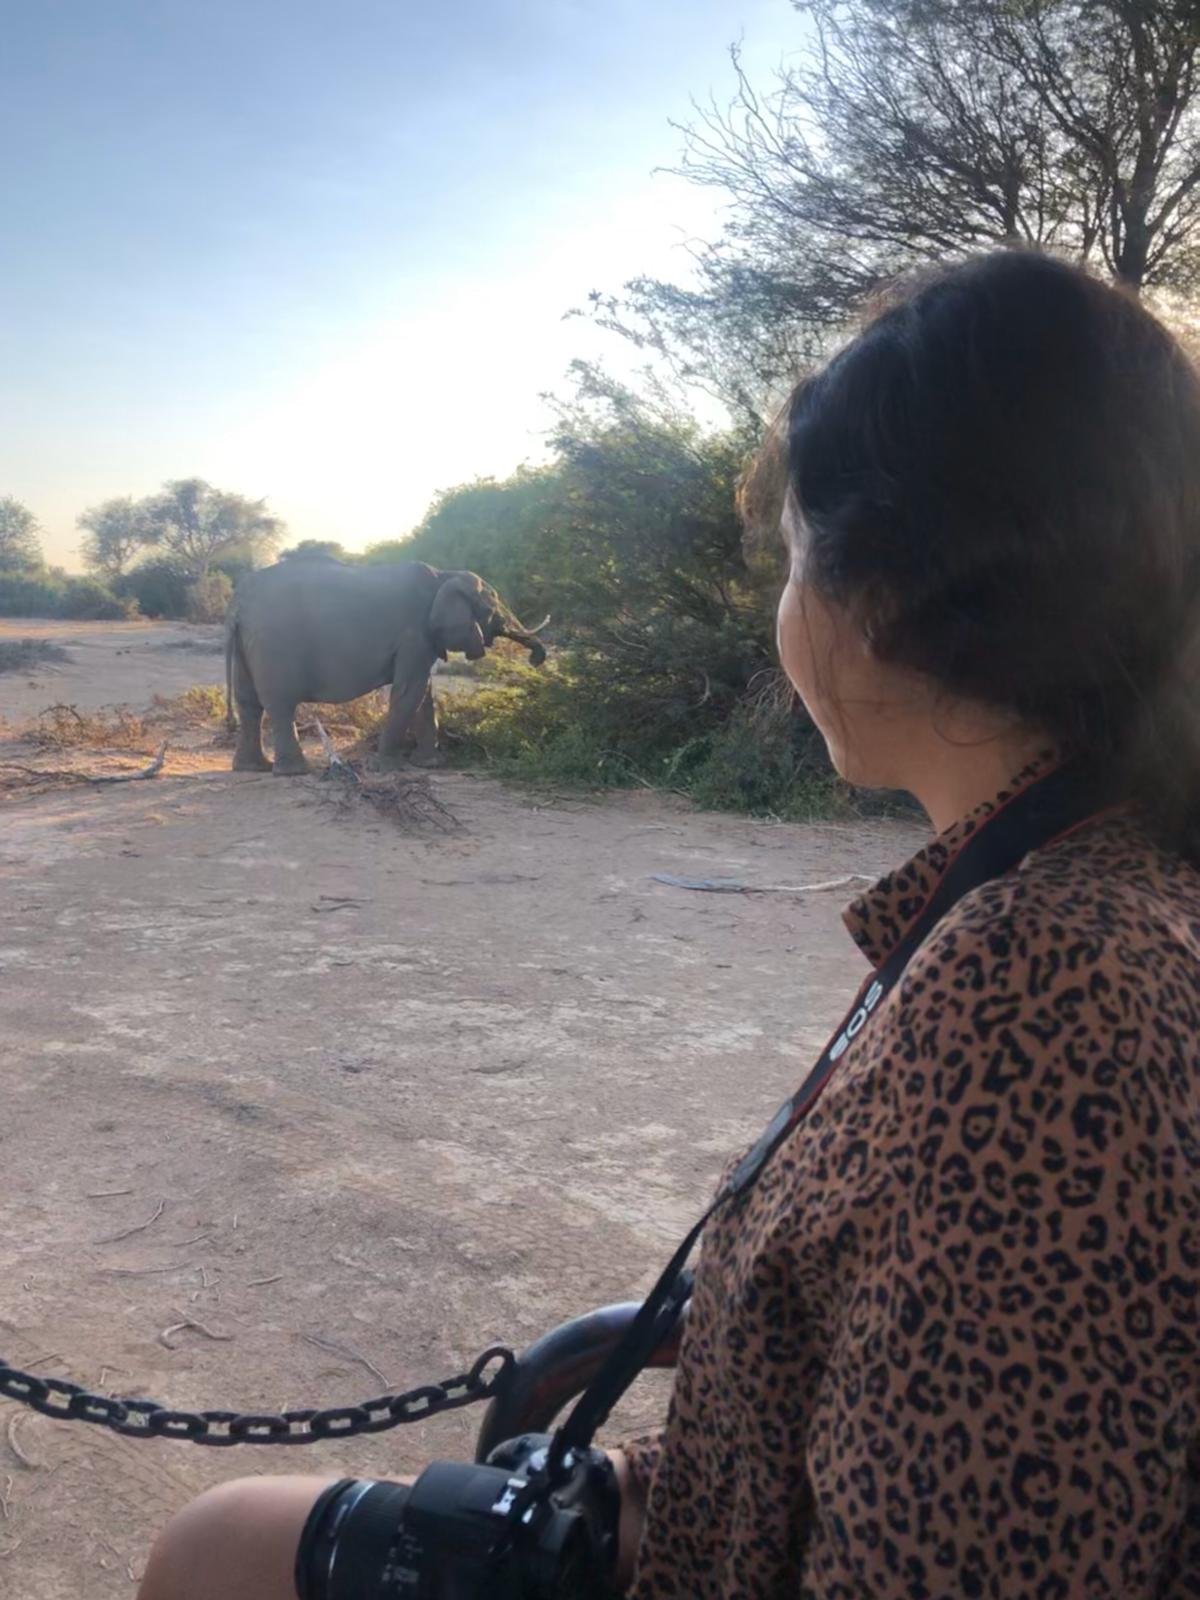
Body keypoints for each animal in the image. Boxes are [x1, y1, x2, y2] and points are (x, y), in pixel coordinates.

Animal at [224, 563, 547, 774]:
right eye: (493, 609)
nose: (537, 661)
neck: (444, 575)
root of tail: (238, 604)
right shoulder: (415, 635)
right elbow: (409, 693)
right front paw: (387, 769)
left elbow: (423, 695)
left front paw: (430, 765)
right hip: (273, 647)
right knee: (279, 705)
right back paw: (293, 772)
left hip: (248, 645)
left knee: (249, 703)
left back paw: (253, 768)